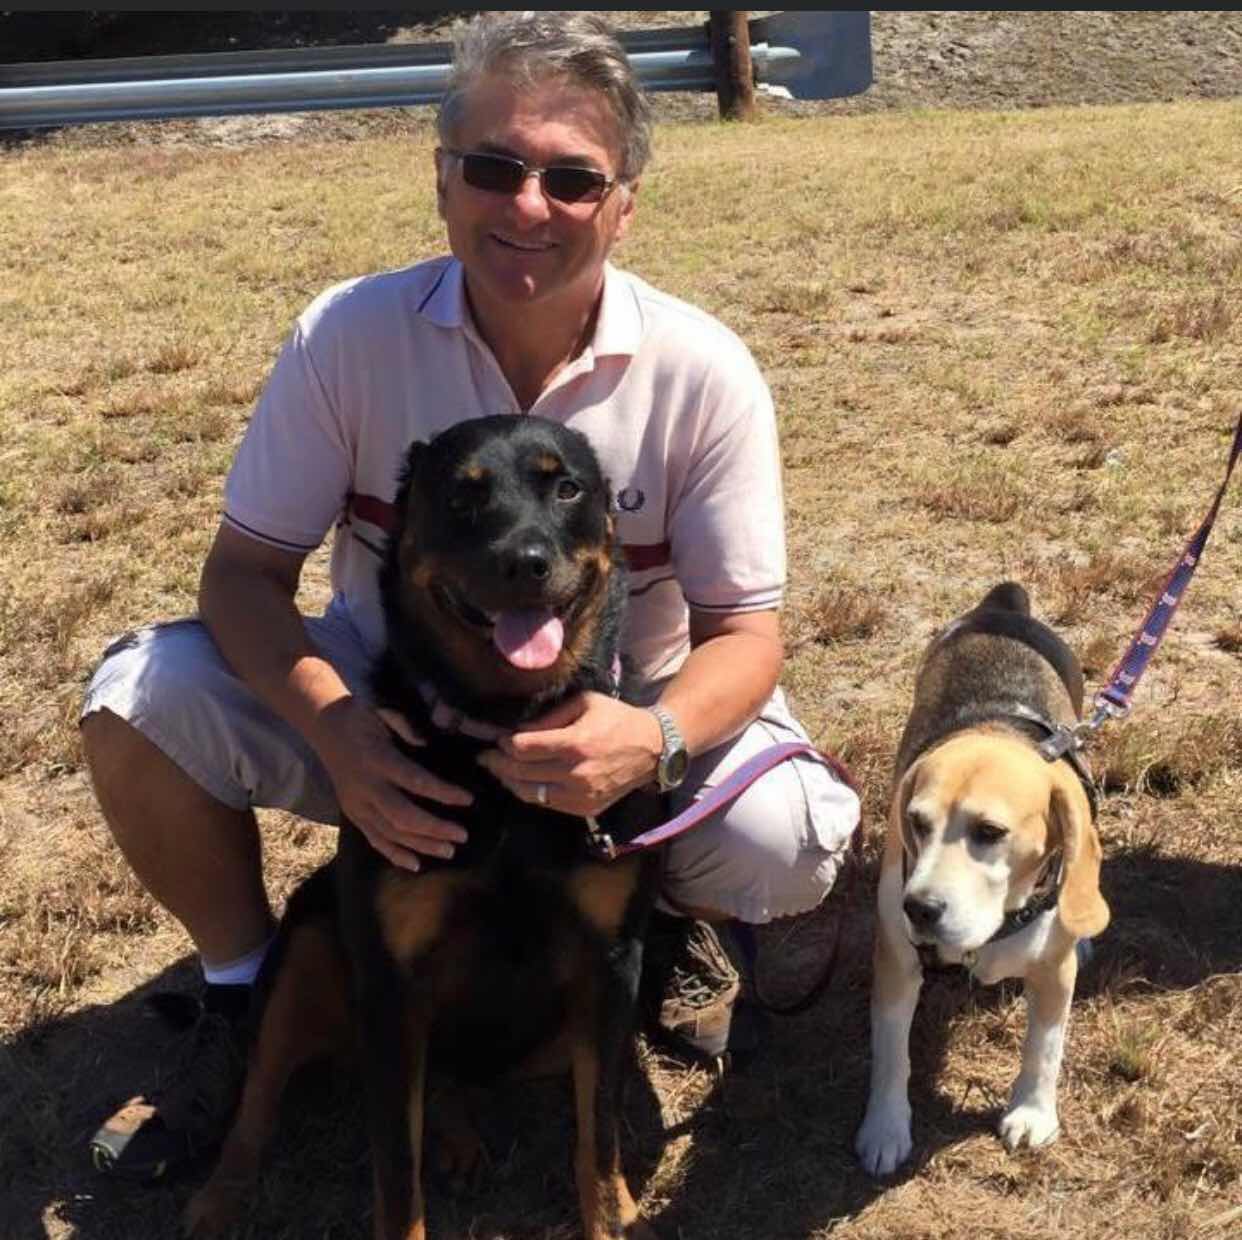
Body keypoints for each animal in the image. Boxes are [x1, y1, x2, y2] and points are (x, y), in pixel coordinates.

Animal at [185, 415, 662, 1240]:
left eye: (567, 487)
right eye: (462, 496)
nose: (524, 563)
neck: (501, 732)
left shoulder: (609, 964)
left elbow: (597, 1139)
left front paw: (611, 1211)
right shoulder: (390, 982)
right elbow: (395, 1174)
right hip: (308, 947)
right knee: (259, 1096)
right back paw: (221, 1195)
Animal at [855, 582, 1109, 1177]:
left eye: (990, 832)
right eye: (916, 824)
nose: (918, 909)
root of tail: (1003, 604)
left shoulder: (1053, 973)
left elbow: (1044, 1048)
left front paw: (1033, 1113)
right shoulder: (895, 963)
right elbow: (890, 1056)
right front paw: (884, 1128)